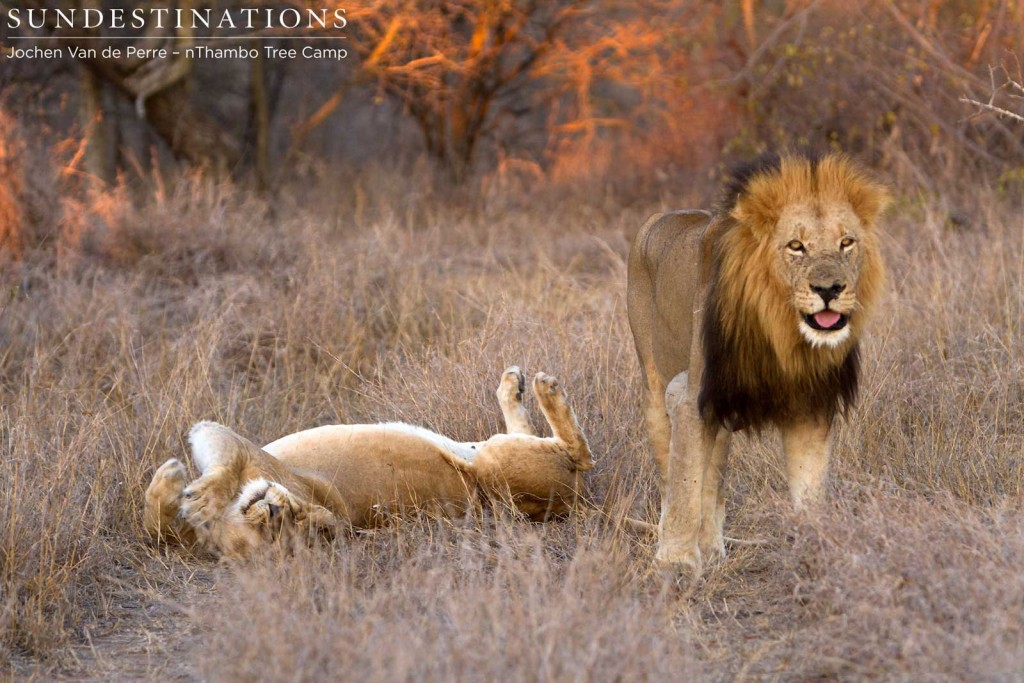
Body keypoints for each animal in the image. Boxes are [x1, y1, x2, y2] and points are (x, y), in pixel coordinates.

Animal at [144, 366, 593, 557]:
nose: (272, 510)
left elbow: (222, 465)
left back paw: (537, 386)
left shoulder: (241, 447)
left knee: (581, 454)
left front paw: (189, 491)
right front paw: (173, 488)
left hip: (493, 465)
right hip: (497, 458)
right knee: (559, 445)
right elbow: (160, 533)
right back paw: (520, 384)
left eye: (293, 519)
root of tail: (576, 502)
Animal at [622, 153, 888, 573]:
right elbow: (684, 485)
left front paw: (818, 551)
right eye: (796, 247)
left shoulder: (811, 405)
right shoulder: (692, 396)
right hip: (655, 387)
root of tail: (661, 216)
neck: (780, 331)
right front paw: (677, 563)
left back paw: (713, 549)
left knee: (713, 479)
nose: (829, 289)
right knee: (670, 471)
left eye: (847, 243)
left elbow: (809, 488)